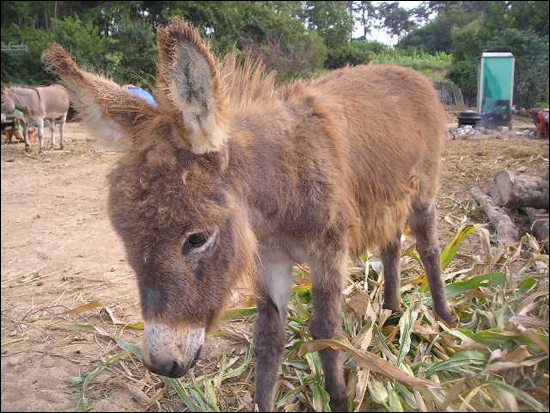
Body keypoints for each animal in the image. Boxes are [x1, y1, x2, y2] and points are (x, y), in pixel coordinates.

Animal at [43, 16, 454, 412]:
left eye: (197, 239)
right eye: (124, 238)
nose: (161, 364)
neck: (283, 189)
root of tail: (408, 71)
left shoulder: (329, 252)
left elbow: (326, 331)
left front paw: (339, 399)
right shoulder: (268, 260)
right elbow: (269, 337)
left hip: (423, 192)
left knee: (429, 250)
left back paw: (445, 321)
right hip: (389, 200)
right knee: (391, 244)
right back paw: (393, 311)